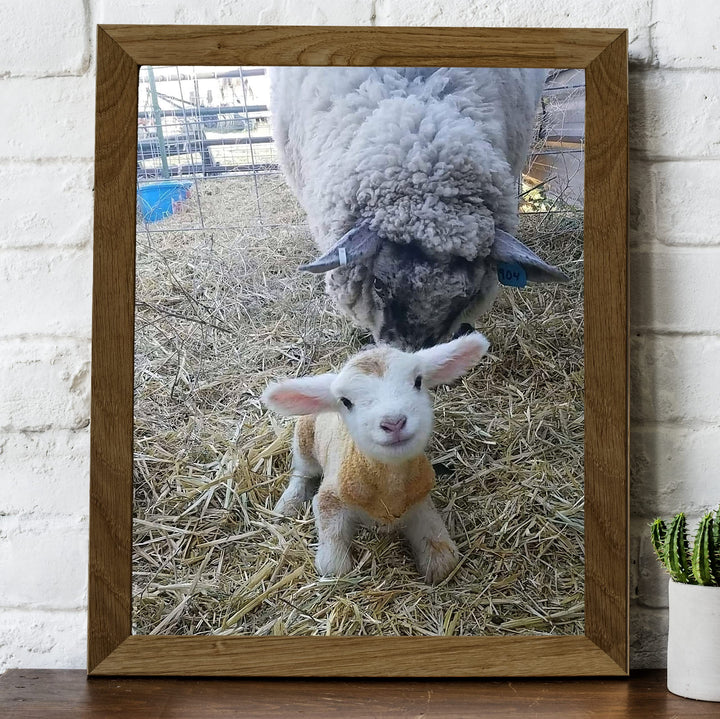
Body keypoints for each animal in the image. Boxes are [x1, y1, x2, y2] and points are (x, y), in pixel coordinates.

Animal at [261, 332, 489, 584]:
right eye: (346, 401)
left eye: (418, 381)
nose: (394, 422)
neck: (389, 488)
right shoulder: (330, 498)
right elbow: (334, 565)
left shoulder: (419, 499)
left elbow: (441, 552)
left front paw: (437, 560)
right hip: (304, 439)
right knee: (302, 472)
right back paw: (287, 504)